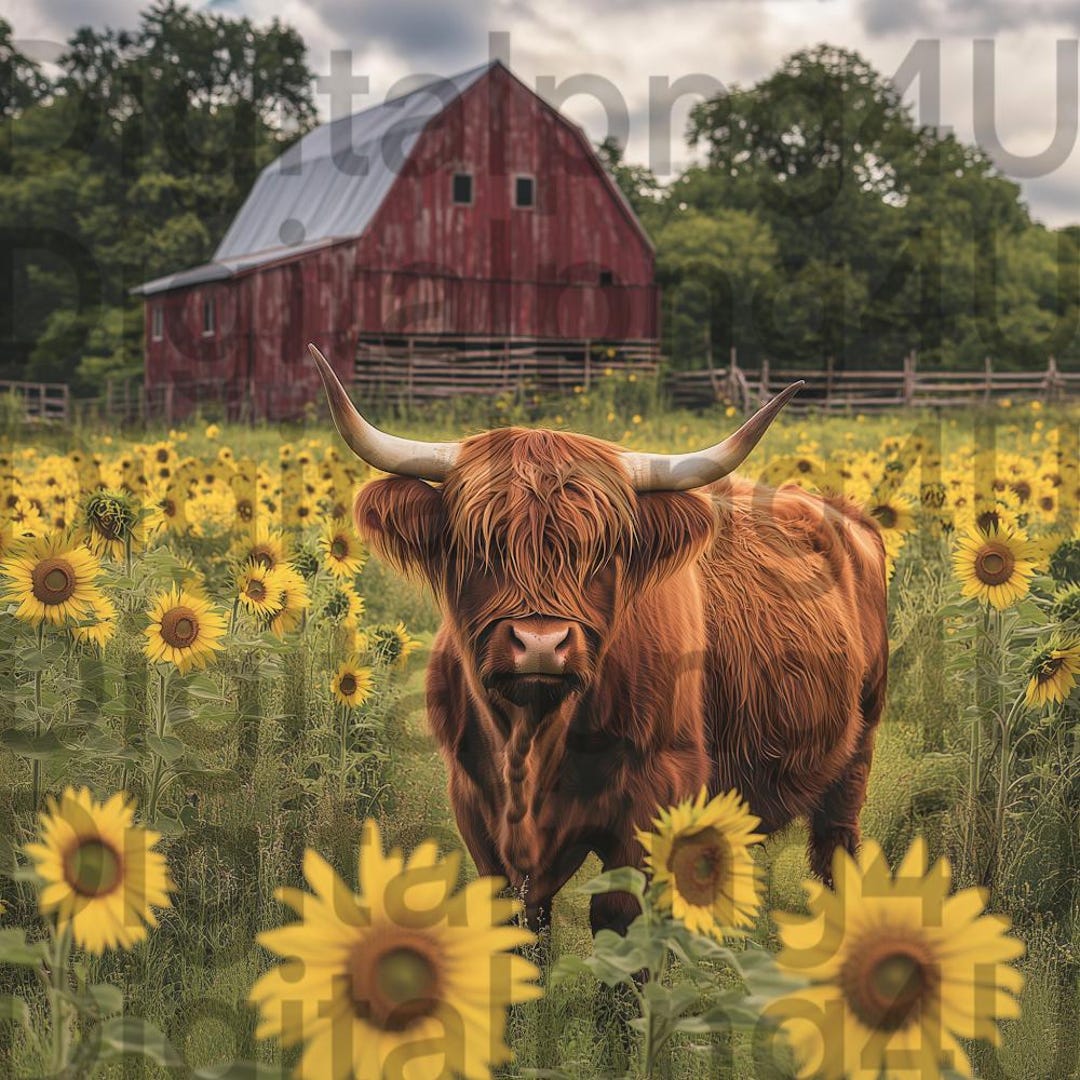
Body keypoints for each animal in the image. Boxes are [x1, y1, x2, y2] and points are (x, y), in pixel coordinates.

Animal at [309, 345, 888, 937]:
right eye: (481, 546)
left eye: (602, 552)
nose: (541, 643)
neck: (530, 744)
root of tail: (844, 513)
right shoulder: (474, 807)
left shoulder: (655, 797)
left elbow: (619, 919)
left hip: (856, 754)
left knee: (835, 849)